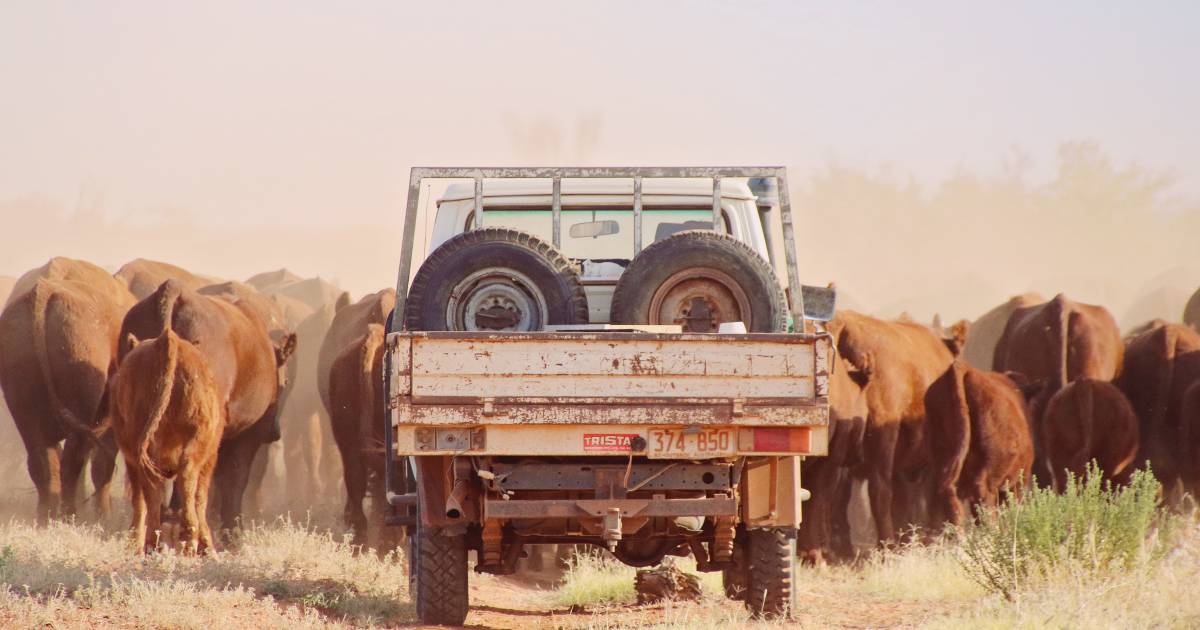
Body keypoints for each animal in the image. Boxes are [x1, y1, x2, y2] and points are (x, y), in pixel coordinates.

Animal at [0, 258, 136, 523]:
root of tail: (44, 293)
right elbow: (101, 465)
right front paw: (103, 515)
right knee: (73, 459)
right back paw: (69, 514)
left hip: (23, 403)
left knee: (43, 459)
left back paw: (46, 516)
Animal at [110, 321, 225, 552]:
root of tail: (166, 340)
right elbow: (200, 496)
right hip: (193, 441)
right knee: (185, 478)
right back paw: (185, 539)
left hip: (143, 452)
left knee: (153, 491)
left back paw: (152, 544)